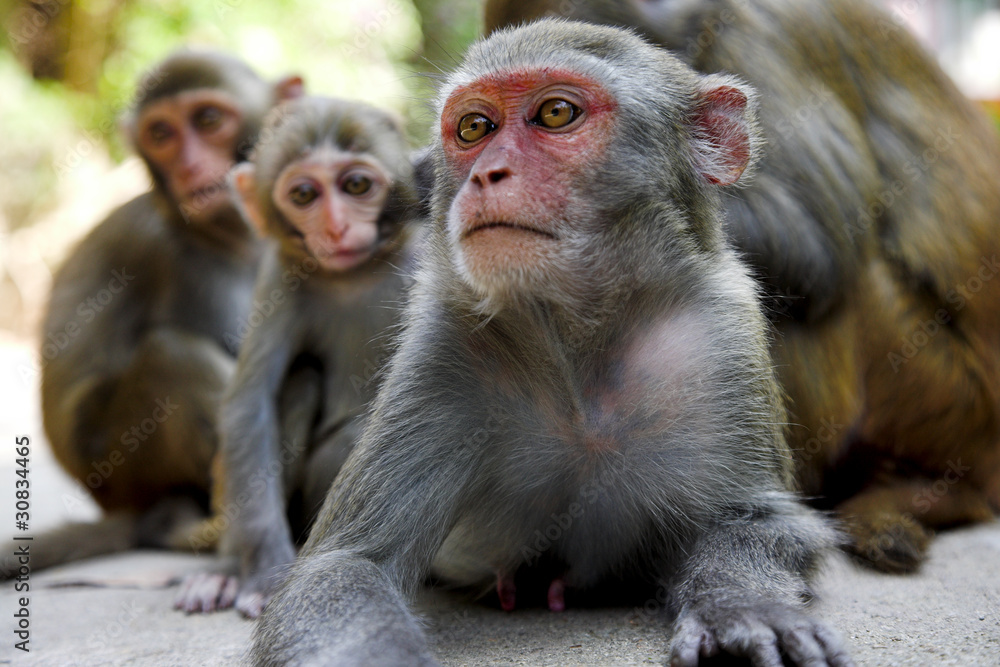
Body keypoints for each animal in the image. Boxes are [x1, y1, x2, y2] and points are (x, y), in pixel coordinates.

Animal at [1, 50, 304, 579]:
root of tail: (119, 505)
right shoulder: (177, 258)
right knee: (173, 353)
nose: (188, 166)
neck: (233, 236)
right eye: (160, 134)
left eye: (208, 120)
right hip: (124, 464)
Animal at [172, 96, 422, 618]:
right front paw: (264, 573)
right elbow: (250, 405)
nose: (336, 226)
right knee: (300, 378)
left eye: (356, 185)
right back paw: (226, 570)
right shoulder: (279, 277)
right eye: (304, 194)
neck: (356, 275)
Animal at [250, 21, 852, 667]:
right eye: (474, 127)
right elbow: (343, 565)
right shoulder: (440, 347)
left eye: (556, 114)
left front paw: (744, 607)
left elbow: (761, 518)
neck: (573, 334)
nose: (486, 175)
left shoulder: (721, 335)